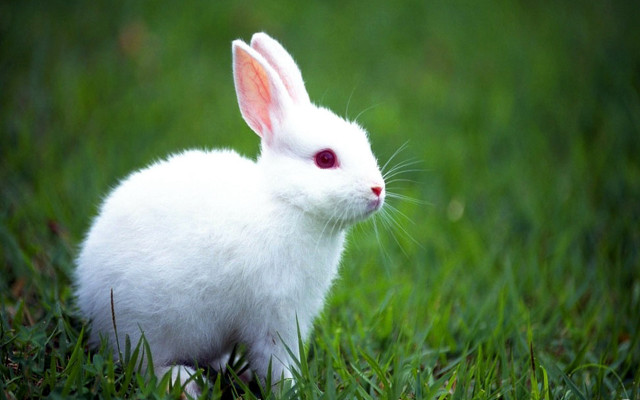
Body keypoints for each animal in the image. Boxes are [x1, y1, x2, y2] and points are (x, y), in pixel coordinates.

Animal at [75, 32, 385, 396]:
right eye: (325, 159)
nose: (377, 190)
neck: (286, 202)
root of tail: (87, 293)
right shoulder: (274, 318)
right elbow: (276, 363)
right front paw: (291, 390)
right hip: (145, 327)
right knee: (145, 364)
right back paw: (185, 384)